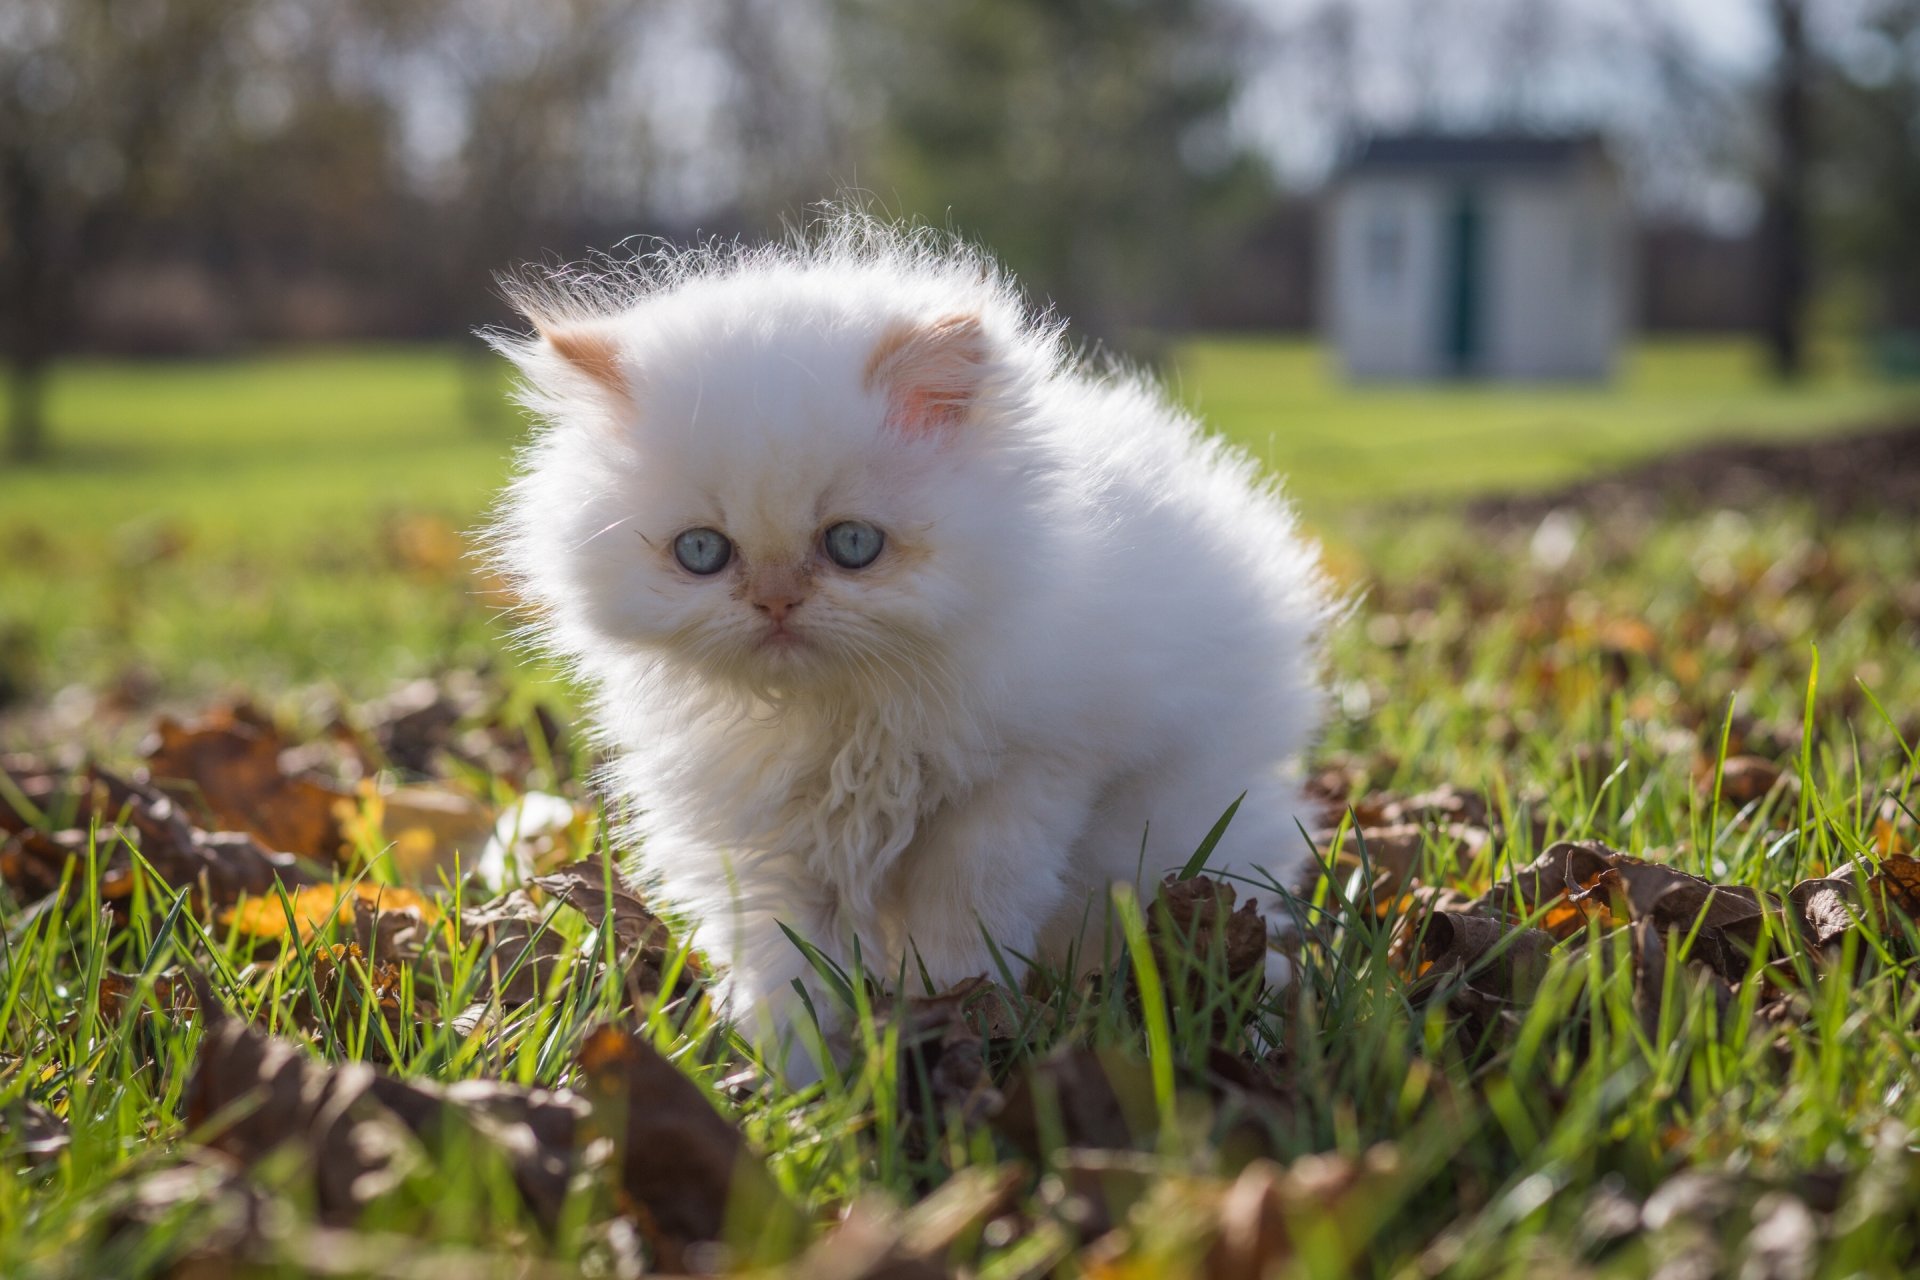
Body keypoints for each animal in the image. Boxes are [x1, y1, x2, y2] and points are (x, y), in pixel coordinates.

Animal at [491, 217, 1336, 1059]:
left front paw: (953, 1022)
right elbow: (787, 960)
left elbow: (963, 928)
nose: (776, 602)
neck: (841, 719)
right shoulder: (760, 840)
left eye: (853, 545)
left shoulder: (1019, 788)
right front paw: (792, 1065)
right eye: (702, 552)